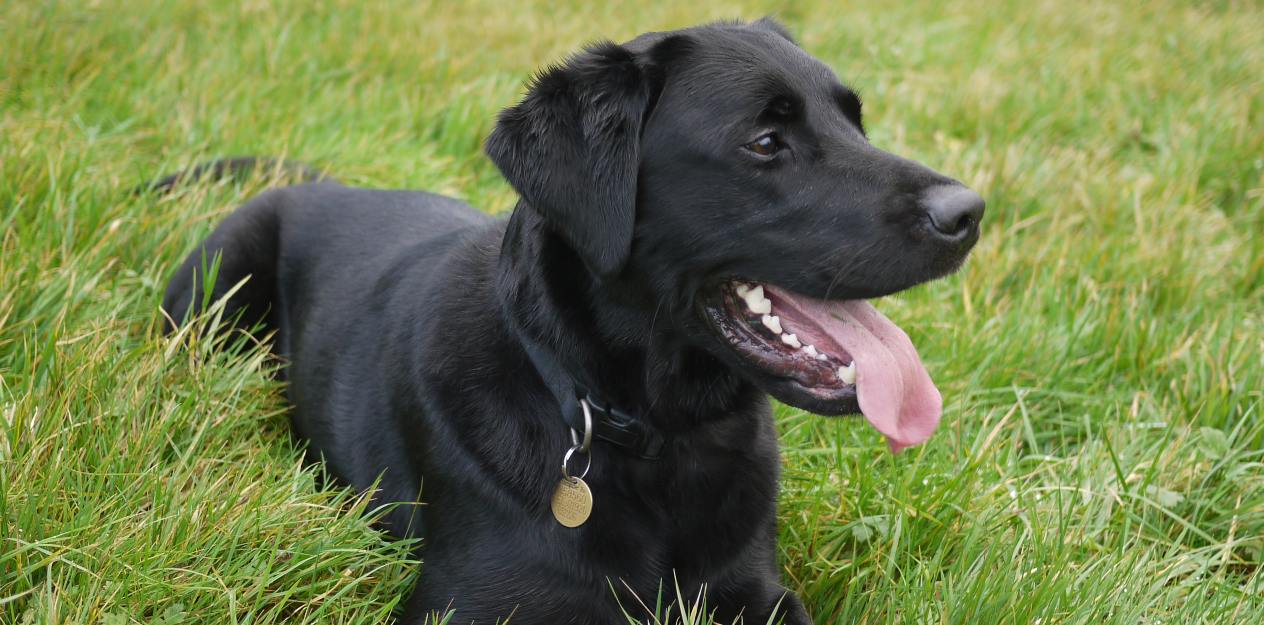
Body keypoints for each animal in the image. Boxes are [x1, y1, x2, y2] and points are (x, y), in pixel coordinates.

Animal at [160, 17, 985, 622]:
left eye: (856, 122)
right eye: (764, 141)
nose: (969, 213)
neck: (658, 439)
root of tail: (322, 181)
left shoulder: (757, 592)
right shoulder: (470, 603)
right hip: (216, 282)